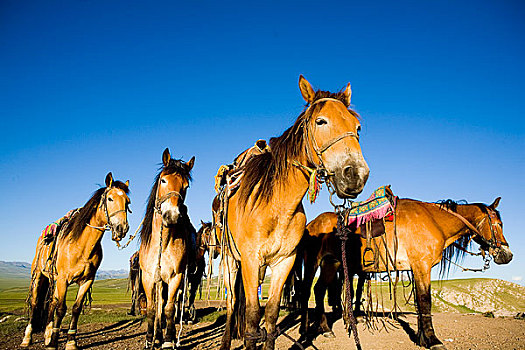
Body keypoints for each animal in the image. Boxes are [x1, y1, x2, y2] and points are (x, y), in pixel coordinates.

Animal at [21, 172, 130, 350]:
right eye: (110, 199)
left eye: (127, 202)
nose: (122, 228)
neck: (81, 246)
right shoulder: (63, 280)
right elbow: (61, 309)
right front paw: (53, 343)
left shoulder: (87, 280)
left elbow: (76, 308)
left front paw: (70, 342)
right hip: (38, 277)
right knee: (36, 303)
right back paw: (28, 338)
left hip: (54, 280)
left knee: (51, 303)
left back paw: (47, 335)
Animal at [138, 148, 195, 350]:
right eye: (163, 180)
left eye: (186, 186)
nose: (172, 216)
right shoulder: (148, 277)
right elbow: (152, 308)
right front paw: (149, 338)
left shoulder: (175, 276)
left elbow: (169, 308)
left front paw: (168, 340)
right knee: (158, 306)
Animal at [215, 76, 366, 350]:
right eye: (321, 121)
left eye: (357, 128)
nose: (356, 174)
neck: (277, 207)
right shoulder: (250, 259)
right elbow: (252, 316)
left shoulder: (284, 261)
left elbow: (271, 314)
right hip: (231, 261)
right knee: (232, 304)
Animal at [298, 198, 512, 348]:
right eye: (500, 224)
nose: (507, 255)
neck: (434, 221)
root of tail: (311, 224)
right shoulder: (422, 267)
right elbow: (425, 301)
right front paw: (433, 340)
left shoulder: (416, 269)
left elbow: (419, 302)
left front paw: (422, 337)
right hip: (313, 263)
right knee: (306, 291)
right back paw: (304, 331)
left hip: (330, 264)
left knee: (319, 290)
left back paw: (325, 329)